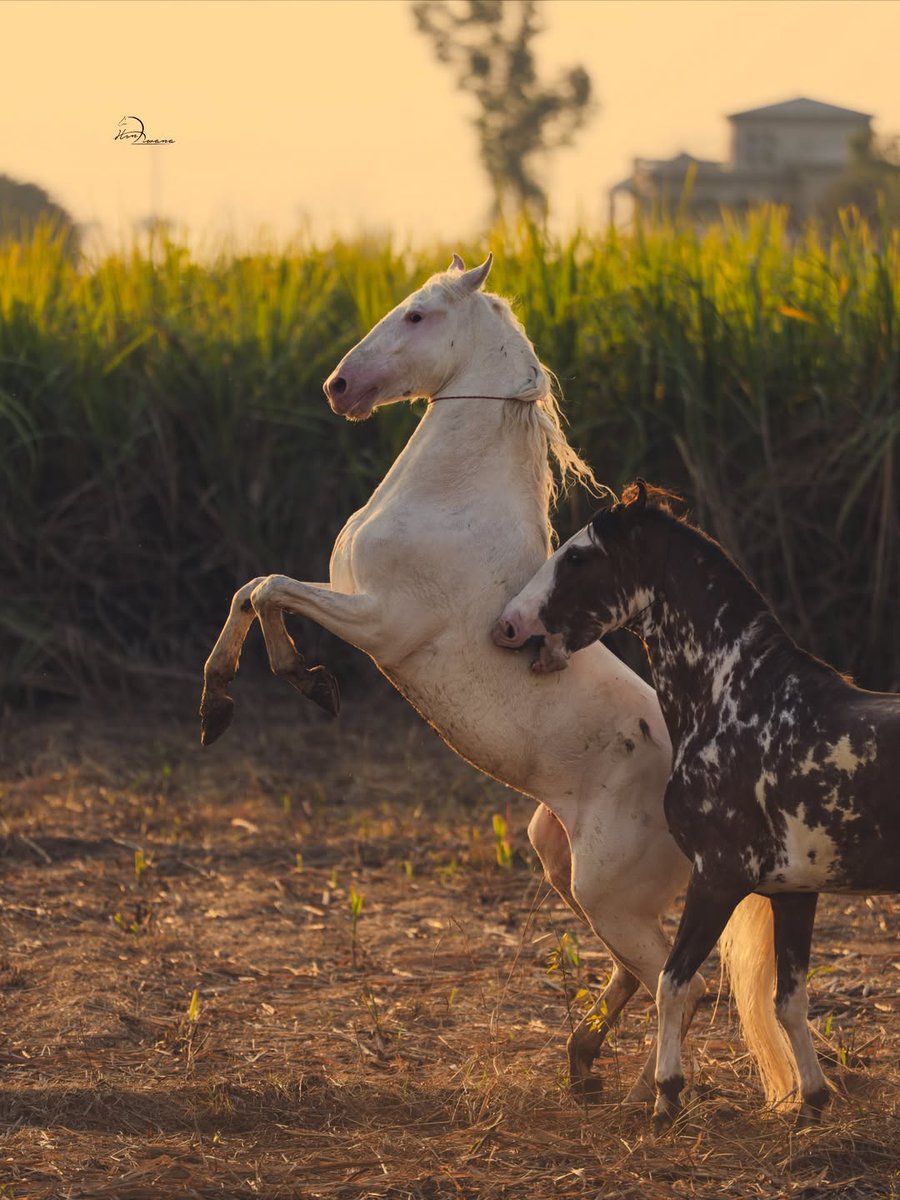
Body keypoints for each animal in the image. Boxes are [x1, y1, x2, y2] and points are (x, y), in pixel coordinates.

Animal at [200, 258, 786, 1105]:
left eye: (416, 315)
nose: (338, 387)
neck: (448, 499)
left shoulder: (380, 623)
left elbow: (268, 588)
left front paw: (292, 685)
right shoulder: (351, 603)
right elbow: (252, 591)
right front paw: (236, 701)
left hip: (604, 887)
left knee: (679, 981)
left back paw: (648, 1090)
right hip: (561, 860)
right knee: (637, 972)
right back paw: (581, 1061)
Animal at [494, 478, 900, 1130]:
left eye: (577, 556)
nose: (508, 624)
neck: (742, 702)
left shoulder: (717, 878)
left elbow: (673, 983)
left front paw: (667, 1096)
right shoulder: (794, 892)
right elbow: (790, 1000)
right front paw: (812, 1101)